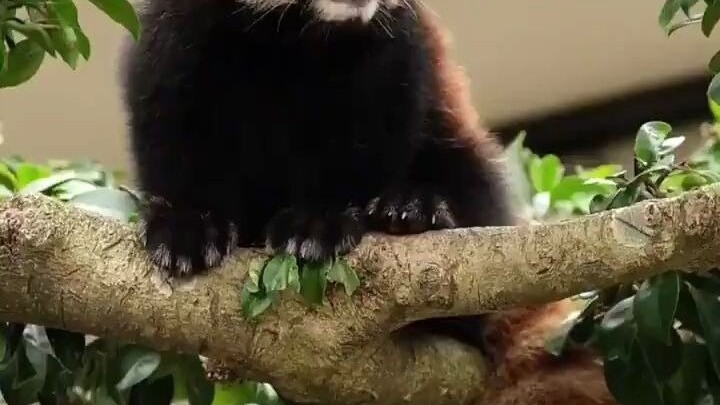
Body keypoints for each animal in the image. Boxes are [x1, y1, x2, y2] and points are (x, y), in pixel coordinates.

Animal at [122, 0, 614, 403]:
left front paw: (319, 223)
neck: (292, 33)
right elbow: (171, 131)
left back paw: (414, 210)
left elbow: (364, 144)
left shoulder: (394, 51)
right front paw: (186, 227)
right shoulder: (177, 42)